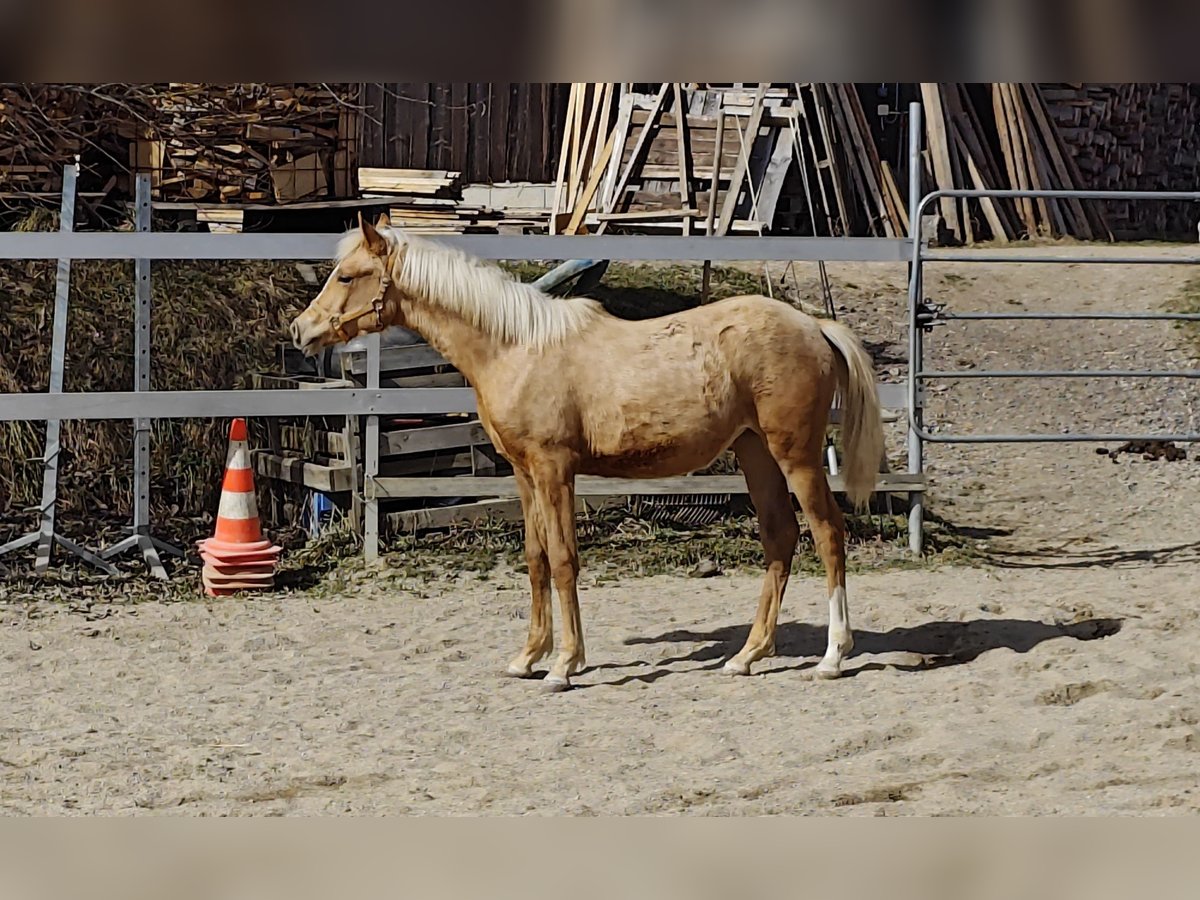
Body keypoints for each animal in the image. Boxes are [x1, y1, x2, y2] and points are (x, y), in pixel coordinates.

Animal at [292, 217, 883, 691]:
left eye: (347, 276)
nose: (301, 330)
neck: (516, 347)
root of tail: (814, 325)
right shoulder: (523, 474)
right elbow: (534, 558)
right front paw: (527, 657)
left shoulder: (555, 470)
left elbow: (563, 560)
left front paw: (564, 665)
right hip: (755, 453)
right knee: (779, 538)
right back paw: (746, 656)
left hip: (796, 456)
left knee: (828, 534)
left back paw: (833, 656)